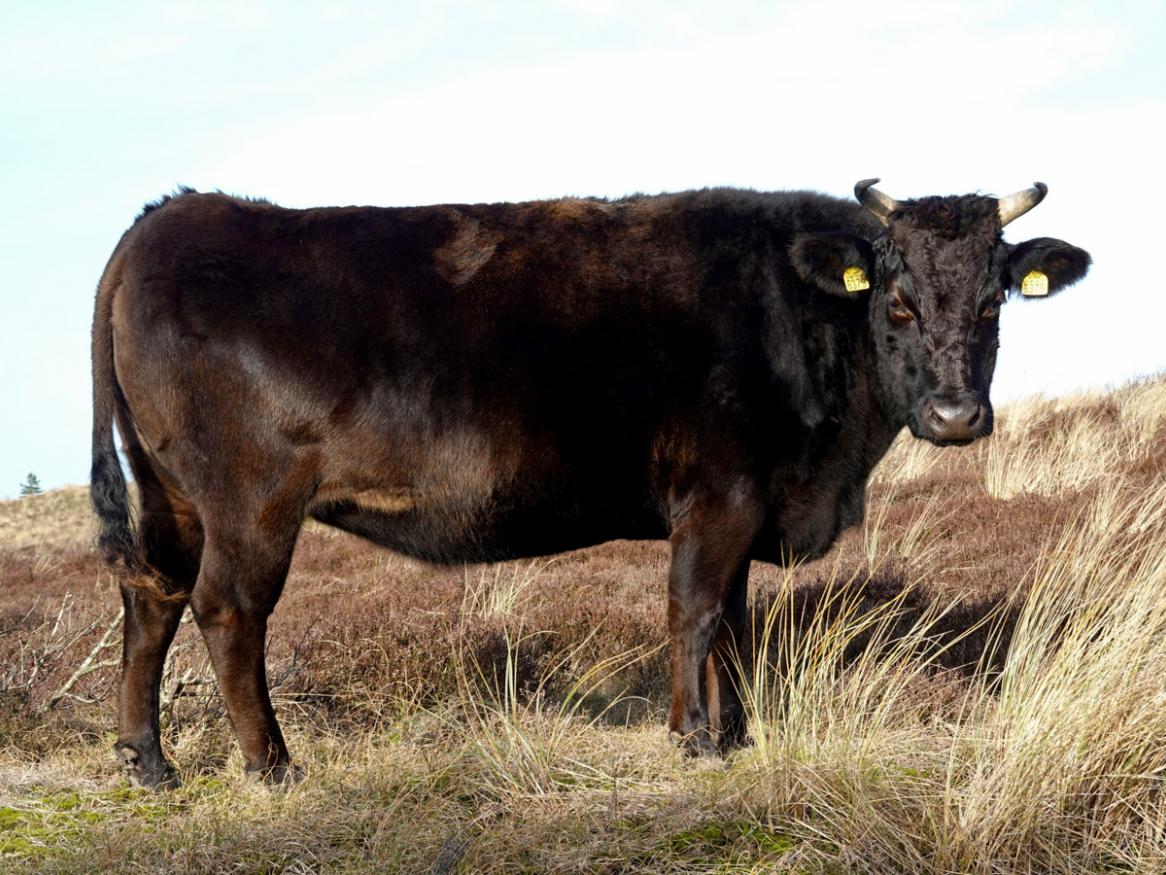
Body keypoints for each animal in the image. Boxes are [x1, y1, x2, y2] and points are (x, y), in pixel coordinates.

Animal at [90, 179, 1090, 788]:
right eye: (898, 302)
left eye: (995, 302)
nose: (956, 415)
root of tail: (174, 215)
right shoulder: (721, 493)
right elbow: (695, 611)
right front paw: (695, 739)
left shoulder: (746, 503)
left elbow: (734, 622)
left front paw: (735, 733)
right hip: (252, 500)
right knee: (227, 610)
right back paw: (271, 764)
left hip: (172, 493)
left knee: (153, 594)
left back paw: (148, 759)